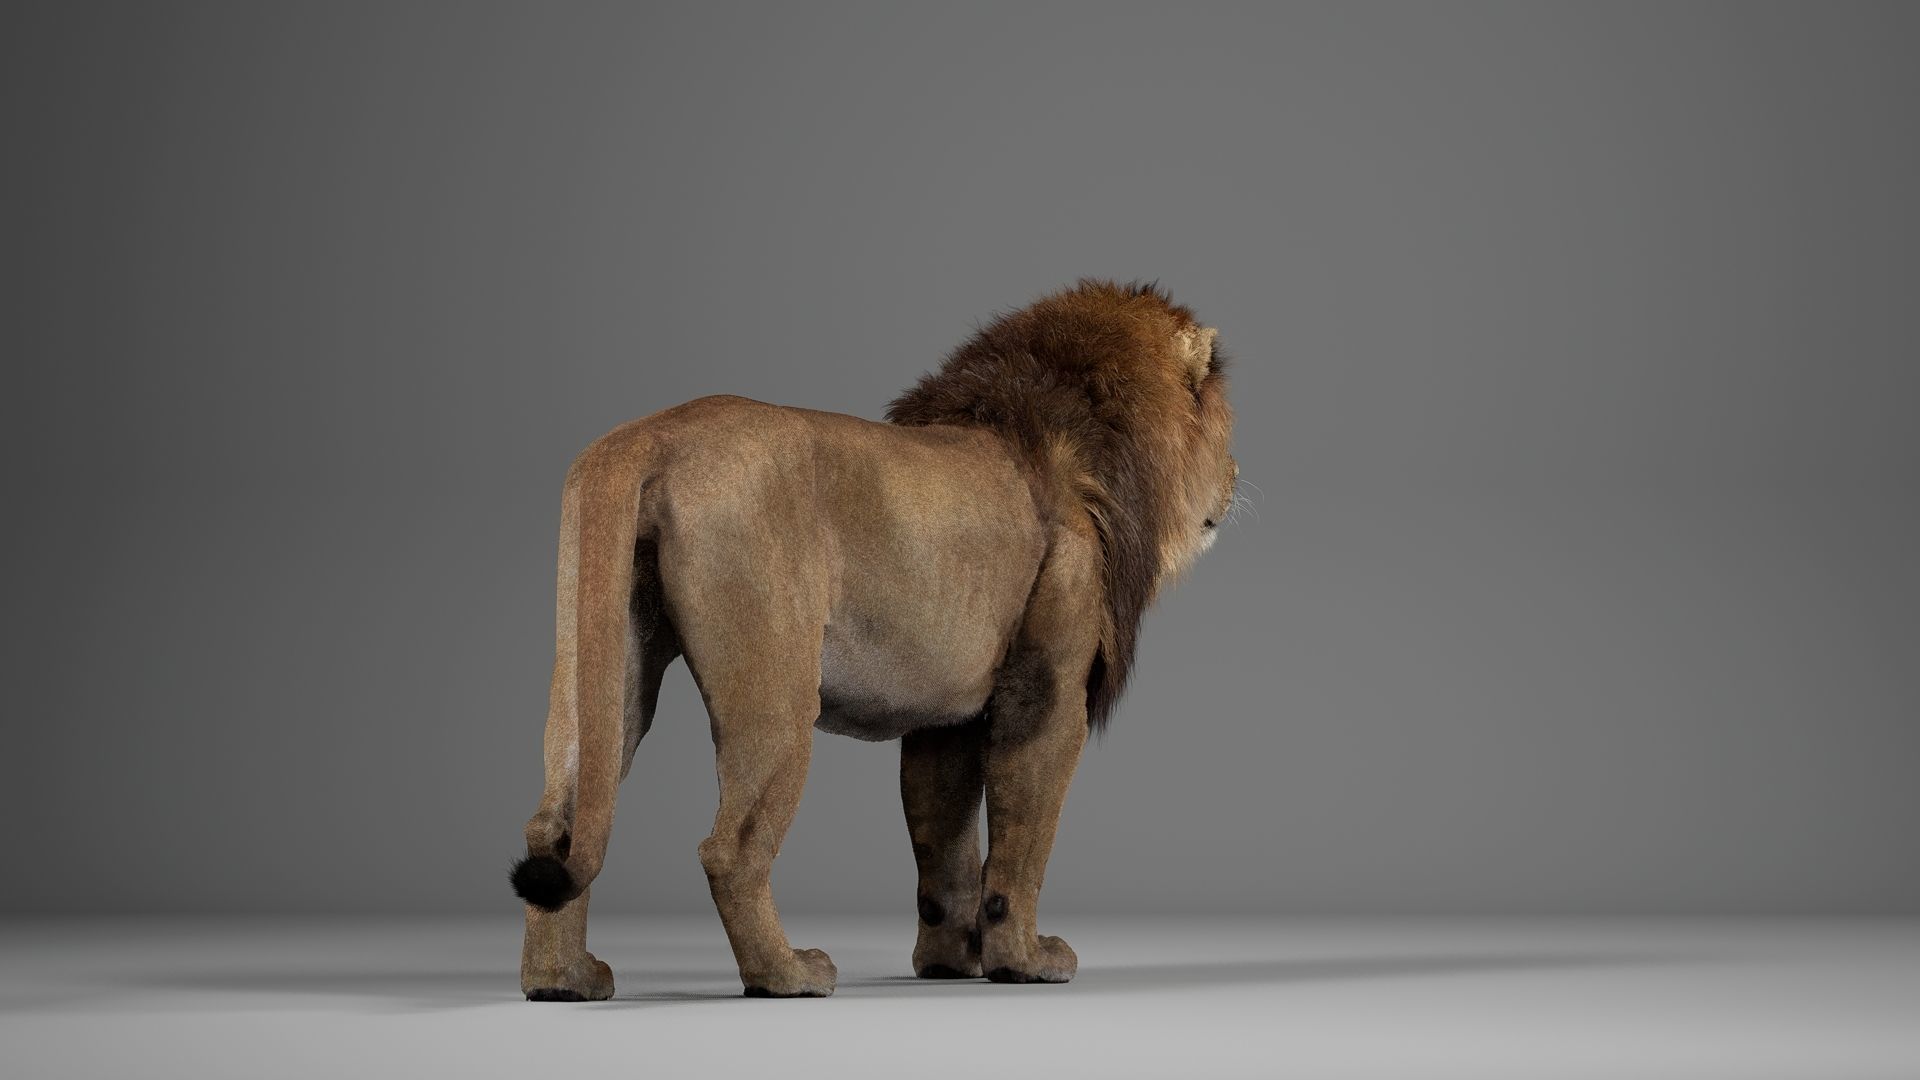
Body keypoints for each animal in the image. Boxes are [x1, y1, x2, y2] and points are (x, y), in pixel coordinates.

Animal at [509, 278, 1237, 999]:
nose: (1236, 478)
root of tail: (648, 440)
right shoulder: (1048, 697)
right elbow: (1020, 847)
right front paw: (1024, 961)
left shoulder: (947, 716)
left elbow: (945, 849)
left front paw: (948, 963)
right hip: (776, 693)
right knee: (730, 848)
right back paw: (787, 974)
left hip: (602, 664)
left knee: (556, 824)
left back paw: (564, 981)